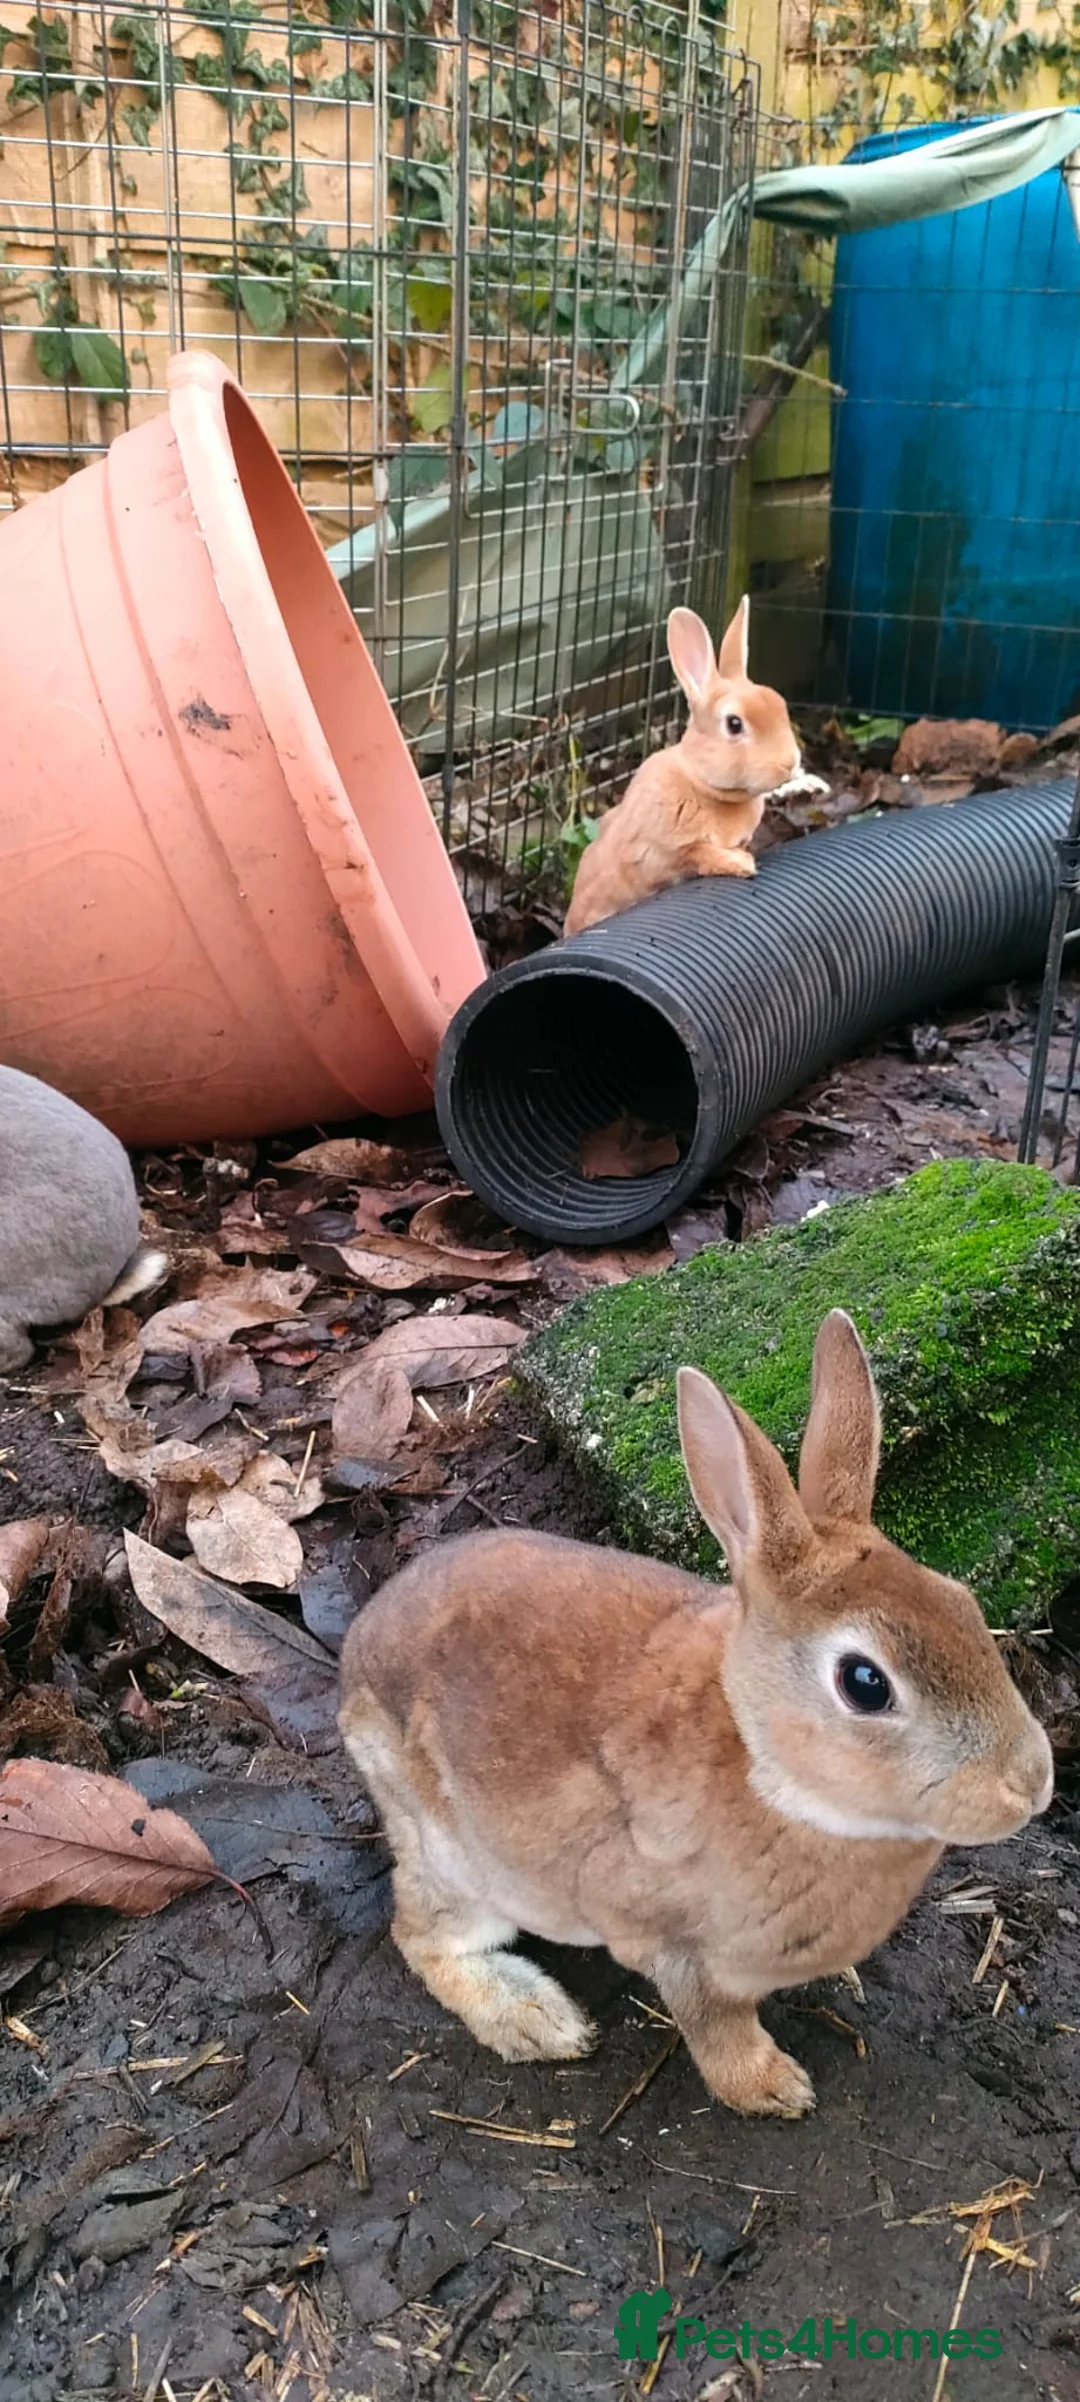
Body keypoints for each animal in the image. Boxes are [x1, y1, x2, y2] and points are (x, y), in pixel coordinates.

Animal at [339, 1310, 1052, 2119]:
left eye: (963, 1604)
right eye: (866, 1683)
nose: (1031, 1784)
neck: (764, 1765)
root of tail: (357, 1654)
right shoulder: (677, 1948)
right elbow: (714, 2024)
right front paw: (772, 2089)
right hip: (459, 1859)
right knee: (421, 1936)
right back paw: (536, 2019)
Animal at [564, 596, 826, 937]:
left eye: (780, 705)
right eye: (734, 724)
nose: (789, 763)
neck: (702, 783)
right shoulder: (668, 851)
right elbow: (700, 855)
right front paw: (741, 865)